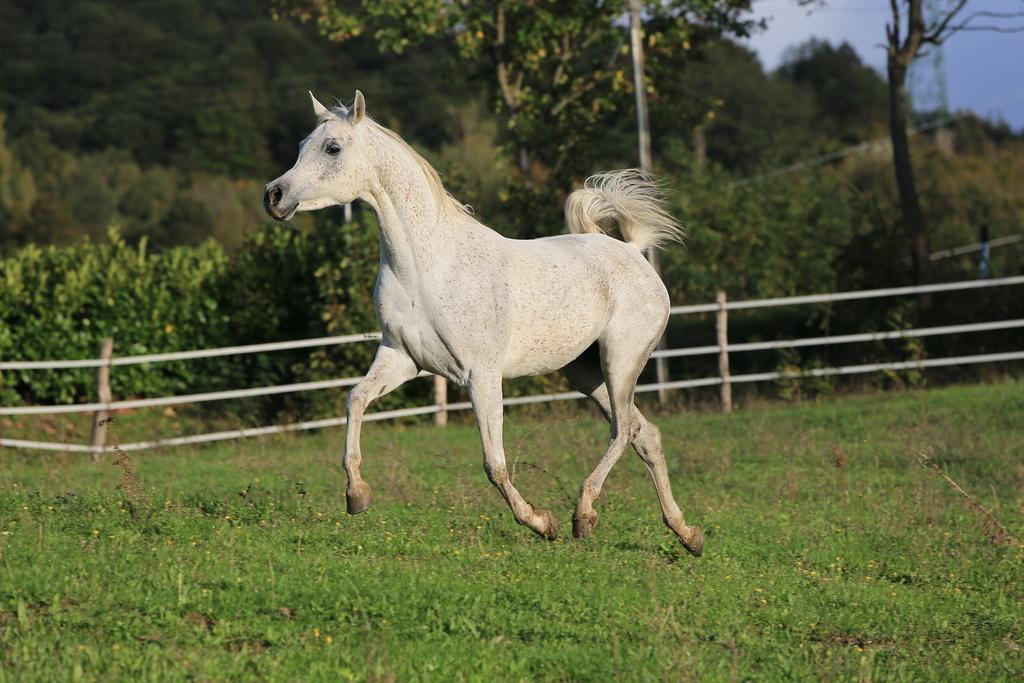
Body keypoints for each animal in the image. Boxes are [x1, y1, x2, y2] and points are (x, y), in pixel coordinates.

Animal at [264, 90, 704, 557]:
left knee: (622, 431)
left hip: (620, 361)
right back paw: (687, 534)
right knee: (645, 435)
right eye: (301, 145)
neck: (428, 267)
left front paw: (540, 522)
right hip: (586, 373)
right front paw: (357, 495)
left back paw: (584, 515)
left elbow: (494, 464)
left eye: (333, 148)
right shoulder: (401, 358)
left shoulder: (481, 375)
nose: (273, 195)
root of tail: (635, 253)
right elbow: (356, 401)